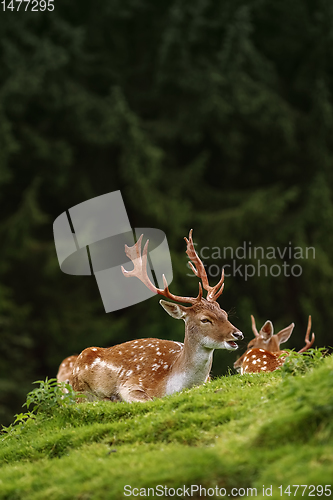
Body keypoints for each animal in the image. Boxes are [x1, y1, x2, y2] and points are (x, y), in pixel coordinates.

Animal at [70, 230, 243, 402]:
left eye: (224, 313)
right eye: (205, 319)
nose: (238, 334)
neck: (171, 382)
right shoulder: (130, 384)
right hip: (79, 389)